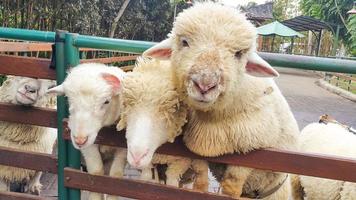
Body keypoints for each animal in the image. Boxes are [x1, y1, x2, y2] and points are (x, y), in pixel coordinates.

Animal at [47, 62, 126, 200]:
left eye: (106, 101)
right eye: (67, 98)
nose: (79, 140)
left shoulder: (123, 147)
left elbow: (115, 176)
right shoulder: (88, 148)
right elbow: (96, 172)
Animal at [115, 57, 209, 191]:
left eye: (175, 108)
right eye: (126, 104)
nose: (137, 156)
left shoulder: (182, 161)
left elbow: (172, 181)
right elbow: (147, 176)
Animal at [143, 2, 298, 199]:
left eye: (239, 53)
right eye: (184, 42)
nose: (205, 85)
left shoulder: (252, 150)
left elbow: (232, 185)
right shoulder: (199, 149)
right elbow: (201, 174)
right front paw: (199, 189)